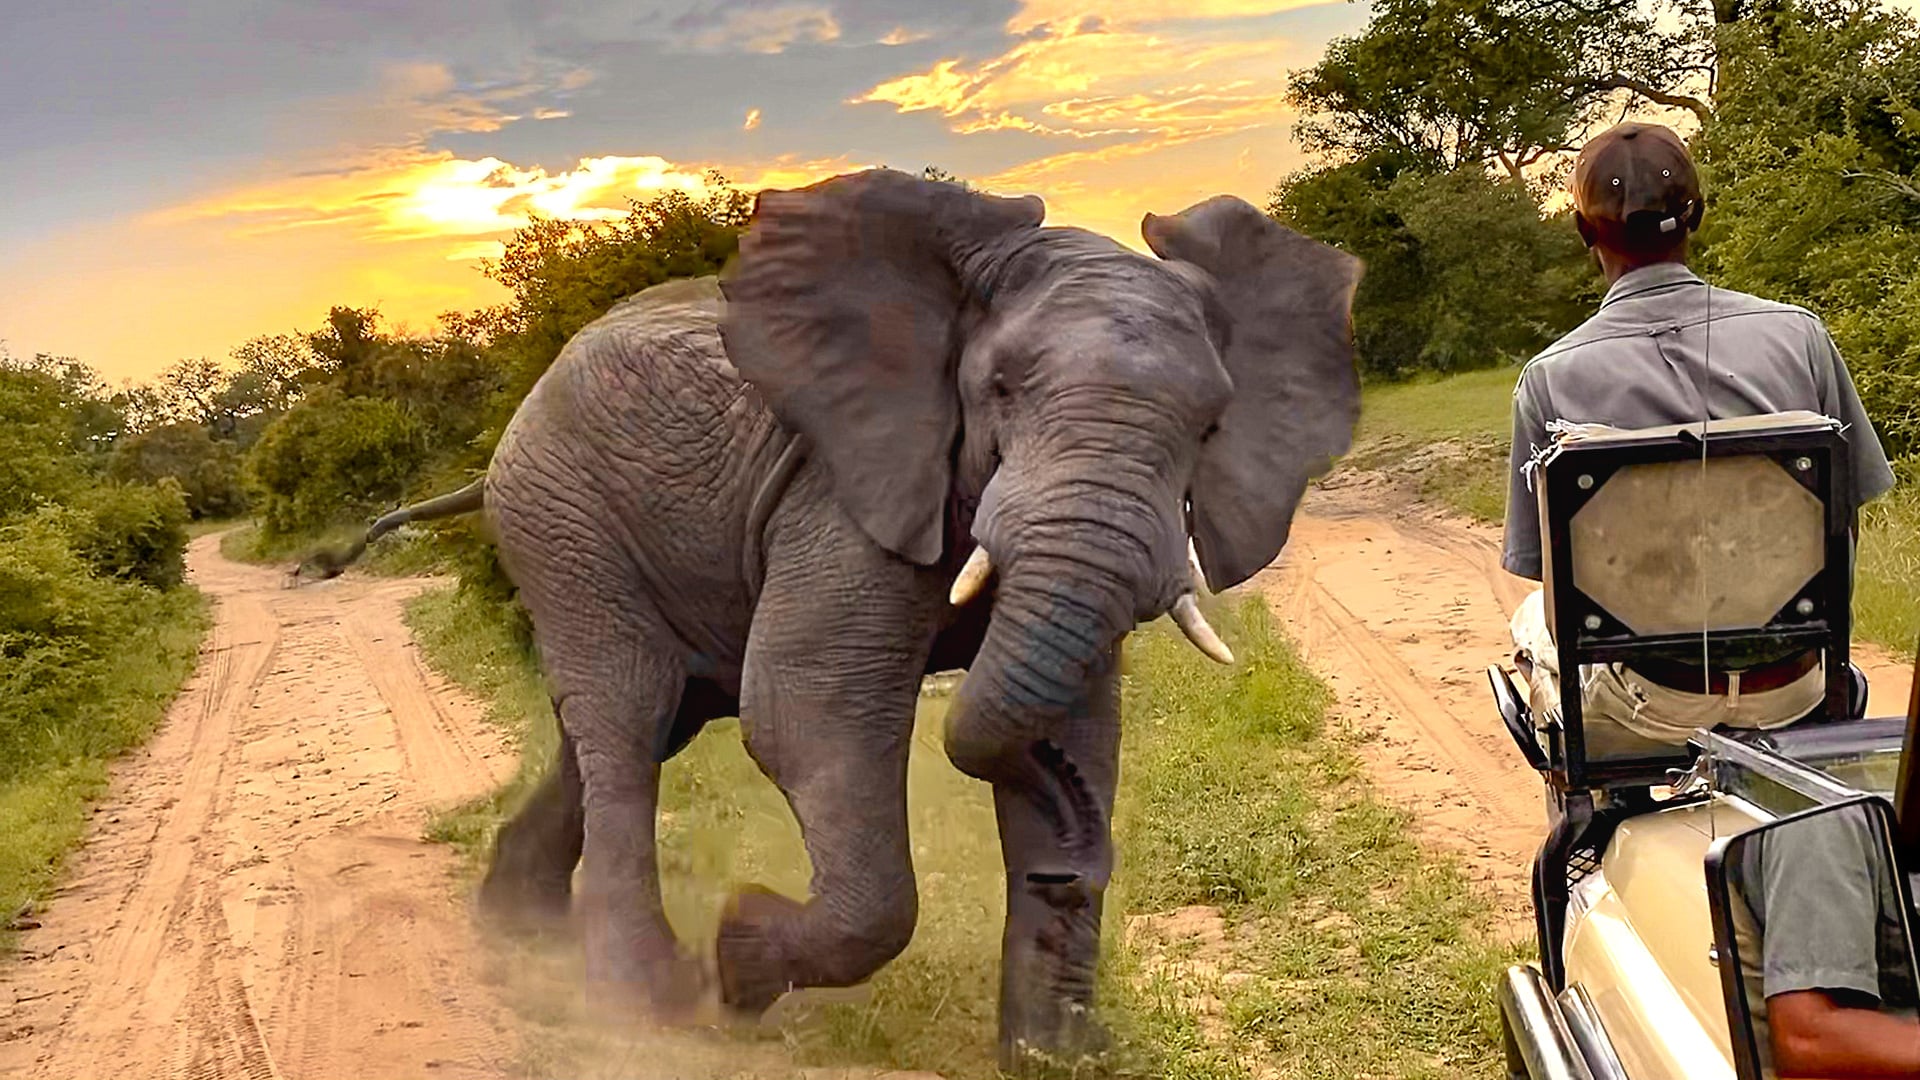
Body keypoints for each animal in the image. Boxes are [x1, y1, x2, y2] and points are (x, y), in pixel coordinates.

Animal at [307, 168, 1363, 1067]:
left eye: (1211, 426)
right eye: (1001, 390)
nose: (1070, 863)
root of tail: (498, 445)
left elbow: (1082, 721)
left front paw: (1056, 1058)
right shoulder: (838, 492)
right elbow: (806, 715)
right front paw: (736, 966)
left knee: (632, 727)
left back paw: (517, 937)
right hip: (561, 518)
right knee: (628, 717)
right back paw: (643, 1007)